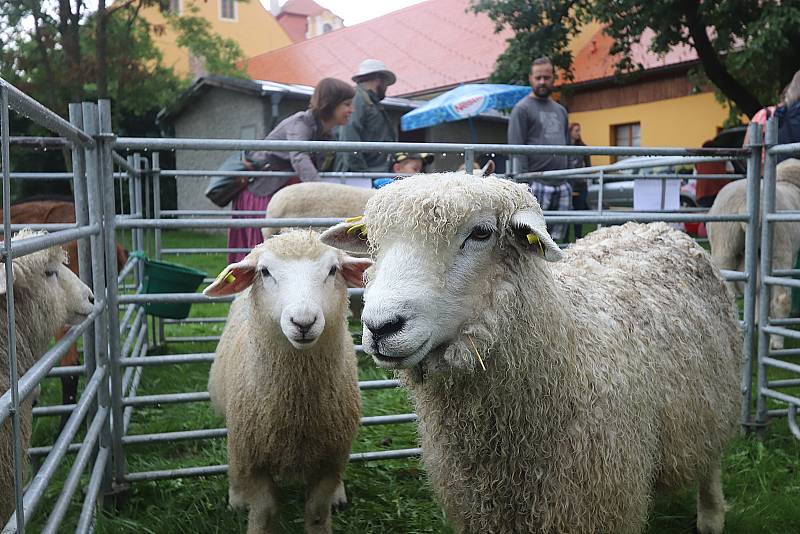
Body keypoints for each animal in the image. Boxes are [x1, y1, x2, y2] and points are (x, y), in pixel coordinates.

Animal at [203, 231, 372, 534]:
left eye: (333, 270)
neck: (296, 410)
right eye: (265, 272)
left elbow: (317, 512)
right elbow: (265, 512)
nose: (303, 322)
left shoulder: (331, 457)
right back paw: (237, 497)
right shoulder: (253, 458)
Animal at [320, 174, 744, 534]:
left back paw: (711, 516)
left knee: (711, 461)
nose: (381, 327)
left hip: (716, 394)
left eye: (481, 233)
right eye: (374, 241)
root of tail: (647, 226)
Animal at [708, 157, 800, 350]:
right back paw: (776, 343)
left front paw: (757, 321)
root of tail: (744, 204)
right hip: (779, 248)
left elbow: (757, 288)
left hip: (724, 244)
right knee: (782, 299)